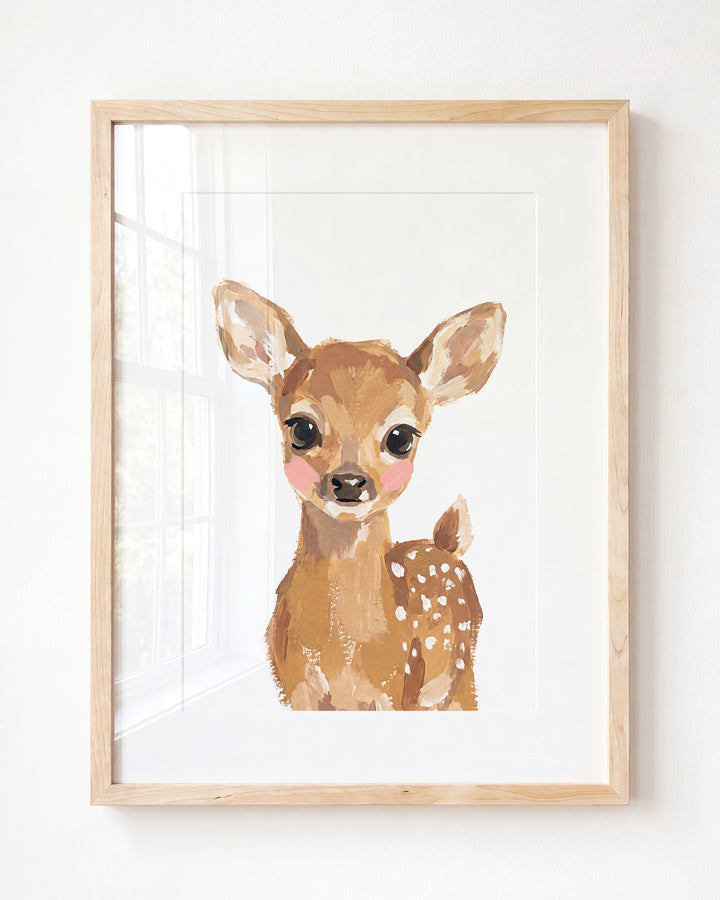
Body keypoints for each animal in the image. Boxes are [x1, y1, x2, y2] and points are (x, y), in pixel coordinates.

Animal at [214, 280, 506, 710]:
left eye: (401, 437)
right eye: (301, 428)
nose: (350, 481)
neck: (344, 654)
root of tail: (445, 545)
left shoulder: (395, 688)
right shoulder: (295, 688)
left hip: (461, 672)